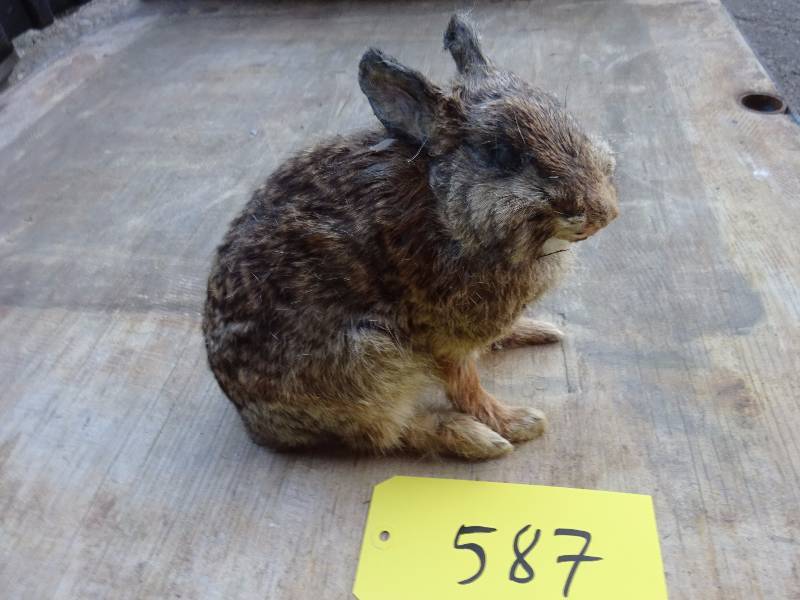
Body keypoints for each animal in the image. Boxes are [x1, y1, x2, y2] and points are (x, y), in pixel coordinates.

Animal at [203, 14, 618, 460]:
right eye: (503, 155)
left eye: (563, 115)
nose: (604, 212)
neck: (446, 209)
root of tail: (254, 420)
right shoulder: (441, 336)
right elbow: (464, 385)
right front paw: (514, 423)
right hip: (371, 359)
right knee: (387, 432)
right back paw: (475, 439)